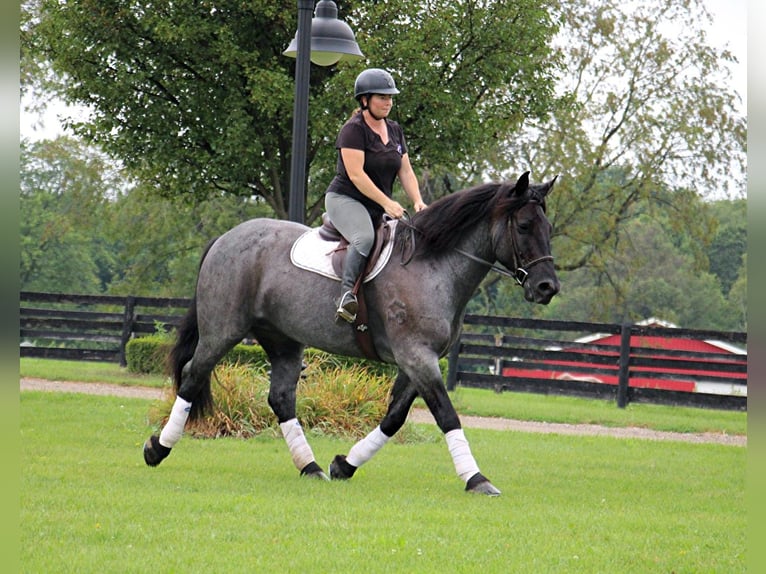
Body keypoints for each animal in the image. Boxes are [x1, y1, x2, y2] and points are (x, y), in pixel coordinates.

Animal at [144, 170, 560, 496]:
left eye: (549, 229)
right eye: (524, 226)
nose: (547, 288)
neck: (433, 265)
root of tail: (226, 238)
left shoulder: (417, 361)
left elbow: (394, 417)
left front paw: (344, 464)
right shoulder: (417, 357)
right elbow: (446, 414)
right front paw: (476, 478)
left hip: (283, 339)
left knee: (280, 398)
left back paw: (310, 467)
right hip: (223, 331)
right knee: (193, 376)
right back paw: (157, 448)